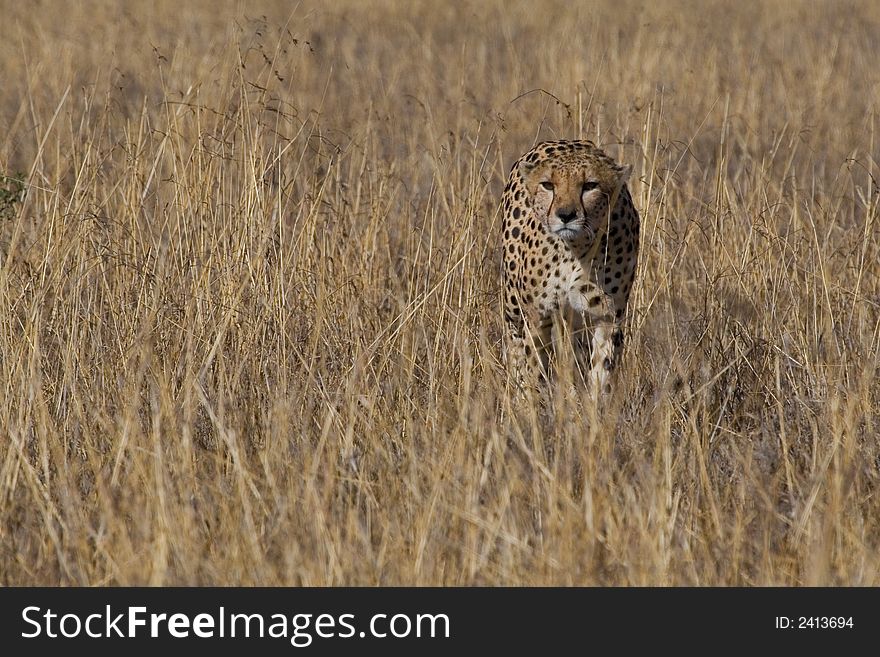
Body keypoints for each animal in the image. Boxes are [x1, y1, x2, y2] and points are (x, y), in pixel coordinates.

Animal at [502, 140, 640, 394]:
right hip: (514, 308)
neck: (574, 249)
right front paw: (531, 401)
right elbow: (533, 369)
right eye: (548, 185)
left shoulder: (607, 315)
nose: (566, 215)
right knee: (516, 348)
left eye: (590, 185)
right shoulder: (536, 317)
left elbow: (602, 372)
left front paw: (596, 402)